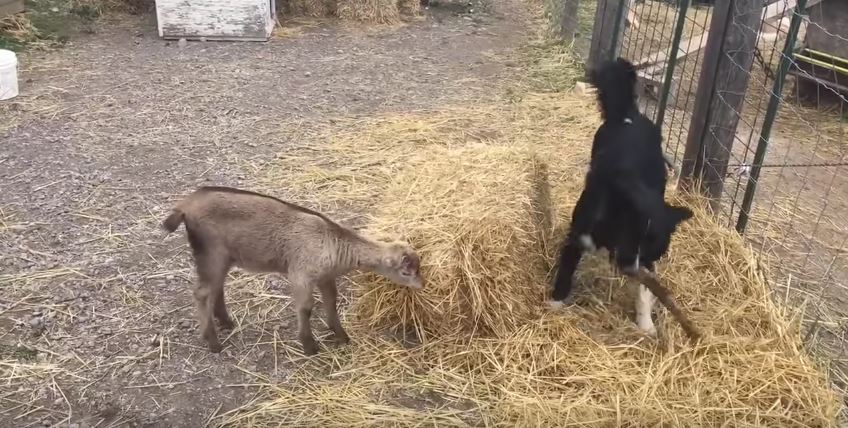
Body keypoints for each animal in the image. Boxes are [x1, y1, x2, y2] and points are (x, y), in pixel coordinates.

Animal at [548, 57, 696, 338]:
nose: (628, 266)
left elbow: (645, 291)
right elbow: (566, 268)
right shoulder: (578, 235)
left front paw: (646, 324)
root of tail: (630, 115)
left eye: (651, 249)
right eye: (628, 230)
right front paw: (555, 302)